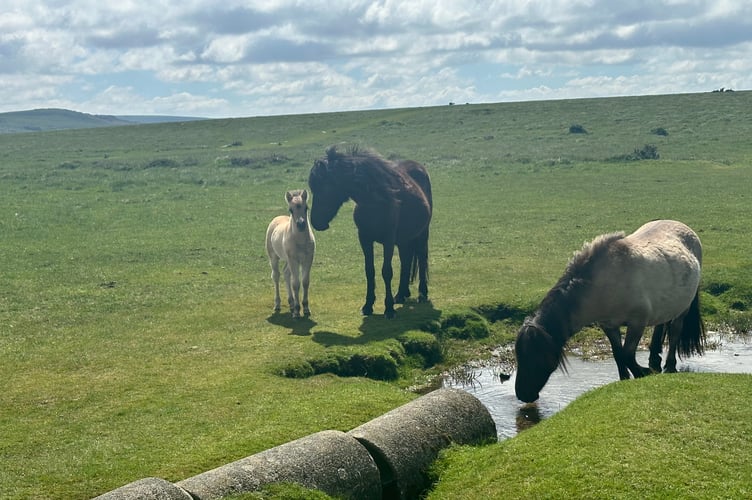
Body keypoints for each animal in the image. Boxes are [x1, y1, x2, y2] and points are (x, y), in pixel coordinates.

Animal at [265, 189, 316, 318]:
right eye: (291, 210)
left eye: (306, 208)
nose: (301, 224)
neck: (300, 241)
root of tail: (277, 218)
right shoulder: (294, 260)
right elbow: (296, 284)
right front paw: (297, 311)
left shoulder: (307, 259)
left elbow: (305, 282)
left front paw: (306, 308)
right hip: (274, 257)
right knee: (276, 276)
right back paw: (278, 304)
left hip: (288, 260)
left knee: (286, 273)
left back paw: (291, 303)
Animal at [308, 145, 432, 319]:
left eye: (324, 187)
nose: (316, 222)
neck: (374, 202)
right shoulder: (364, 238)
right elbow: (369, 270)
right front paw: (368, 305)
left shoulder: (388, 240)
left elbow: (386, 271)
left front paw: (388, 308)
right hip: (403, 239)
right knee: (406, 260)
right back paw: (401, 294)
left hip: (422, 234)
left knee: (421, 258)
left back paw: (422, 293)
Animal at [514, 219, 706, 403]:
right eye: (519, 357)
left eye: (536, 358)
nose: (523, 395)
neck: (603, 284)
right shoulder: (608, 325)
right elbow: (618, 354)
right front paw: (624, 379)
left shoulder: (637, 322)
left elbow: (628, 354)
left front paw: (642, 373)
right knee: (661, 324)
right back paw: (654, 359)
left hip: (683, 308)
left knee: (674, 331)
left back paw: (669, 365)